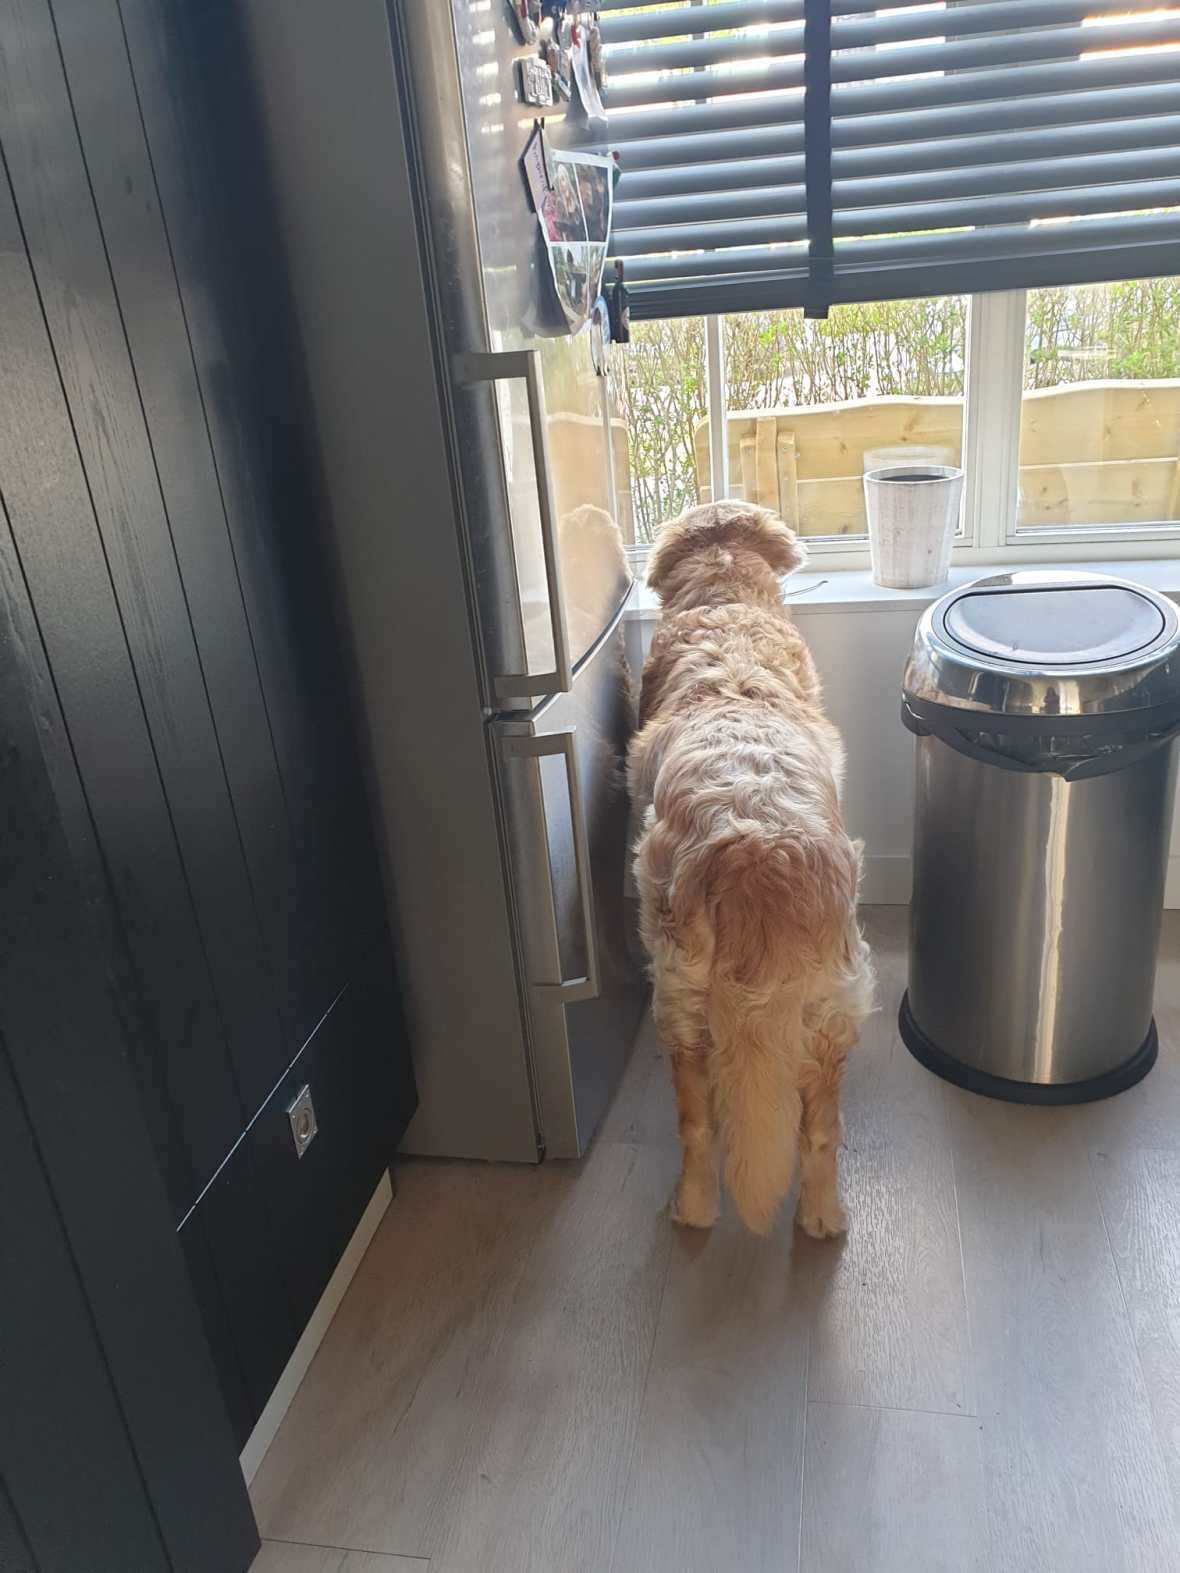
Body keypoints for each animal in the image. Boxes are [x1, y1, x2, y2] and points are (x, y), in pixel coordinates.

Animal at [628, 502, 874, 1237]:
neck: (725, 605)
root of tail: (758, 852)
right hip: (828, 1002)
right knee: (813, 1130)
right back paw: (817, 1216)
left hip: (682, 995)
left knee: (702, 1124)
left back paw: (701, 1209)